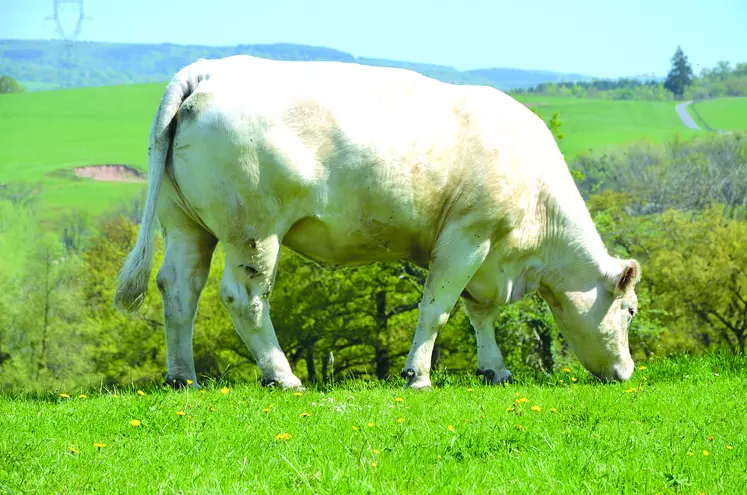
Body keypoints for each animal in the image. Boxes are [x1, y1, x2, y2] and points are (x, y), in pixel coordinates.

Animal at [114, 56, 640, 392]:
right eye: (631, 311)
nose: (628, 373)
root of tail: (208, 69)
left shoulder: (487, 254)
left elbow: (480, 314)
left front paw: (494, 370)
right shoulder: (468, 236)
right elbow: (437, 309)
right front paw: (418, 376)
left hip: (185, 226)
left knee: (178, 291)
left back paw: (183, 378)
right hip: (254, 231)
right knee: (244, 299)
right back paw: (282, 376)